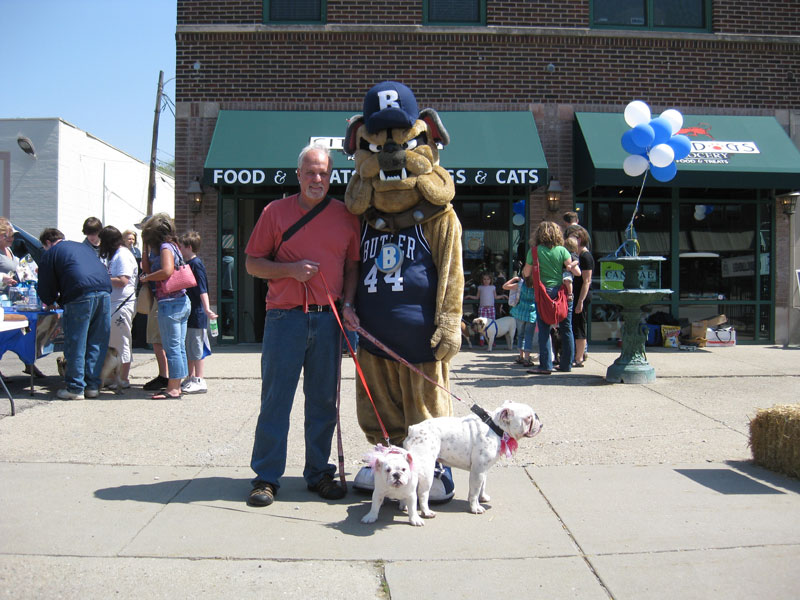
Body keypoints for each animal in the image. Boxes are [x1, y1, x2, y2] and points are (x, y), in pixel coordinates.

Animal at [406, 398, 544, 516]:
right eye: (528, 418)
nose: (538, 420)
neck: (495, 427)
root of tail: (413, 430)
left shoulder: (483, 470)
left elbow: (482, 485)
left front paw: (482, 498)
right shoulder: (478, 471)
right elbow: (475, 490)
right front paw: (475, 507)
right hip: (427, 471)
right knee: (422, 493)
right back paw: (426, 512)